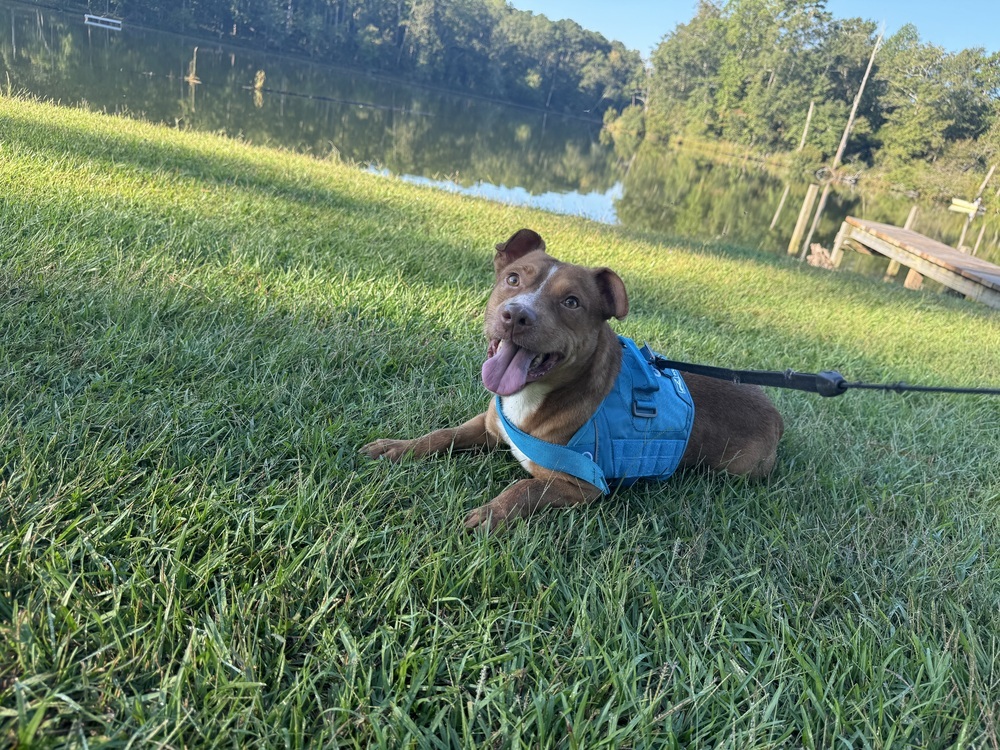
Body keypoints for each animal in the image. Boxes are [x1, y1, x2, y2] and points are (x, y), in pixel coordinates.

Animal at [364, 229, 784, 528]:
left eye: (572, 302)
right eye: (512, 279)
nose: (516, 315)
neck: (531, 397)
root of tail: (777, 412)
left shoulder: (581, 485)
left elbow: (524, 486)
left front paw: (492, 513)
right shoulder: (488, 426)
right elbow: (441, 435)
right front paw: (397, 447)